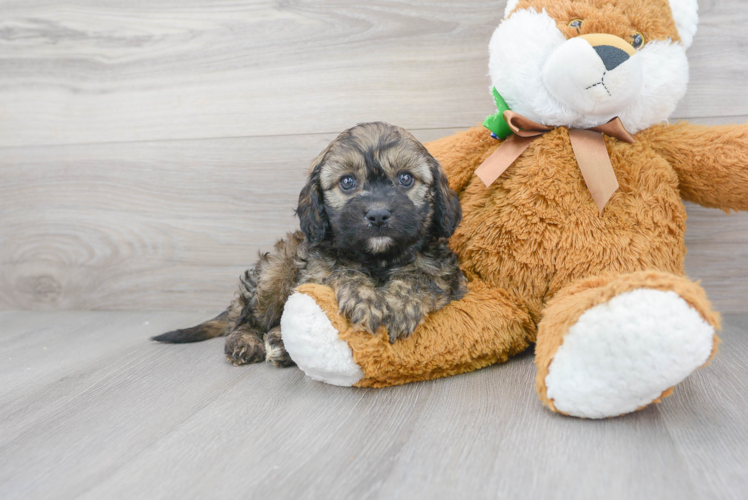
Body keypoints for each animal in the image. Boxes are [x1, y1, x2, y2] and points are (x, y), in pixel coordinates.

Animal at [154, 122, 464, 368]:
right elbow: (344, 271)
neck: (378, 258)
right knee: (246, 319)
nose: (377, 215)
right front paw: (364, 299)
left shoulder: (442, 270)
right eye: (347, 182)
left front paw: (399, 305)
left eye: (405, 178)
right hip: (274, 271)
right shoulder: (318, 266)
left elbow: (418, 277)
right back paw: (248, 342)